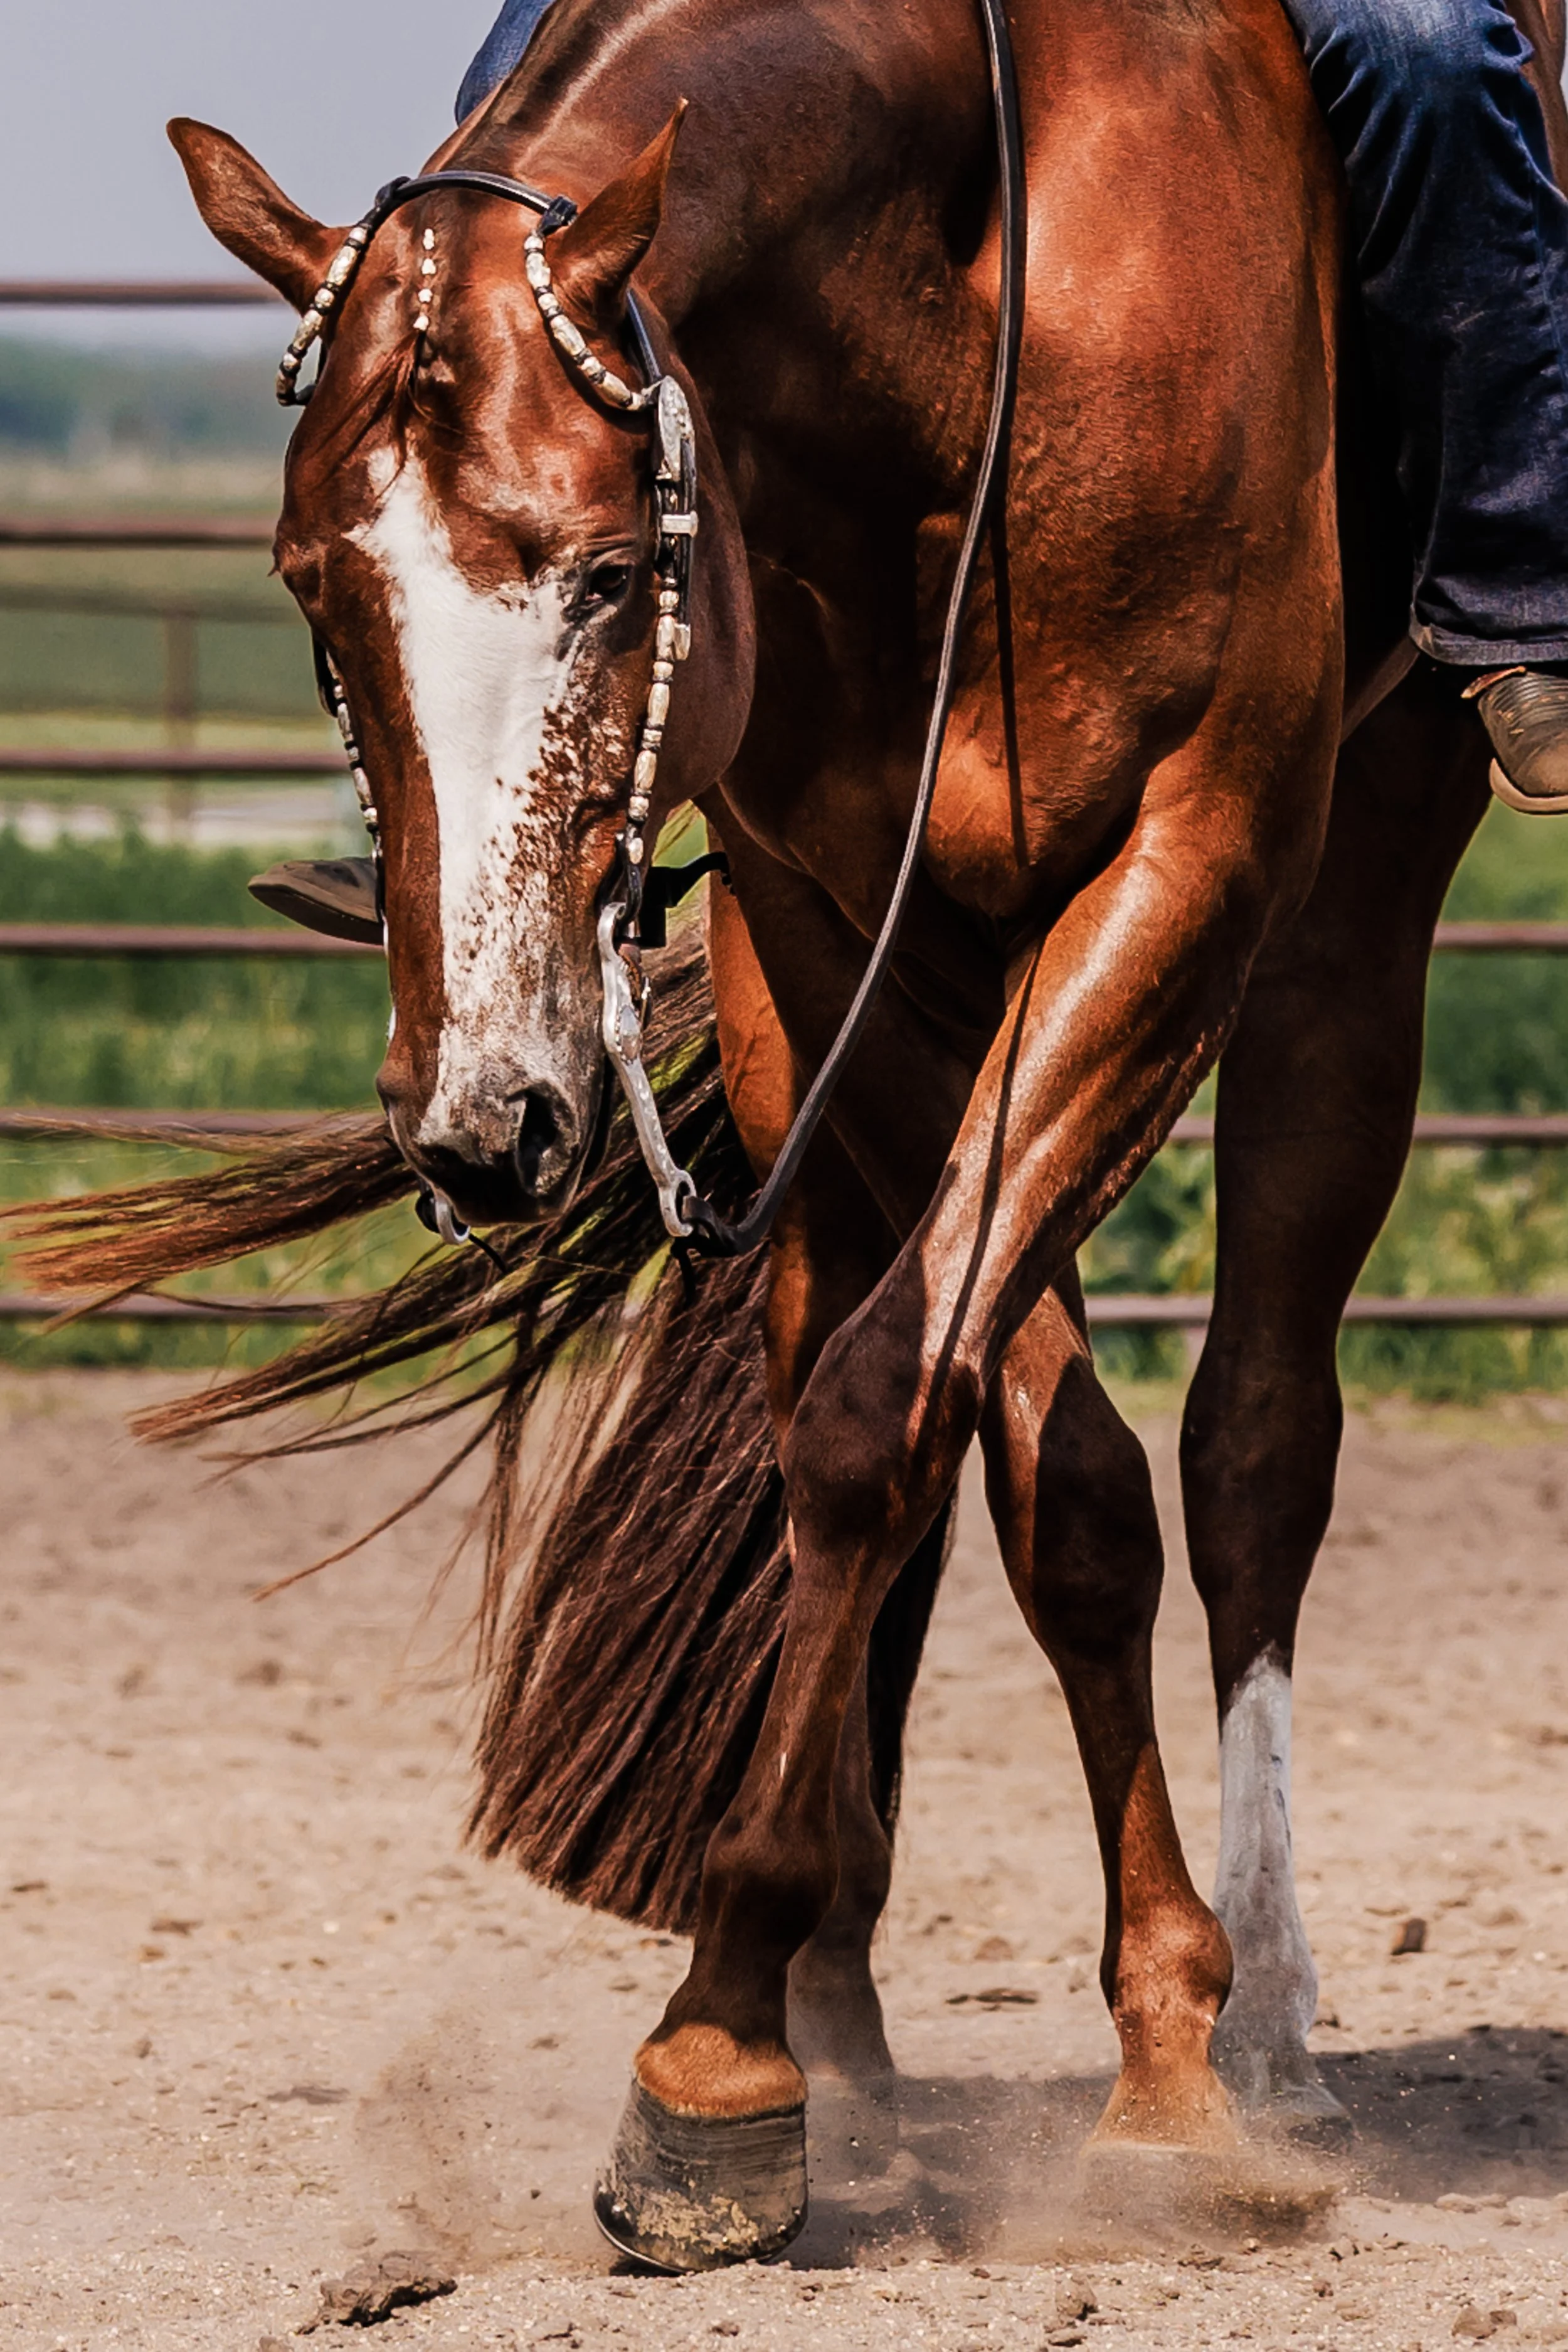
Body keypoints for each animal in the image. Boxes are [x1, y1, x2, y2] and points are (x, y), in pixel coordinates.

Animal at [19, 0, 1568, 2274]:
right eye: (313, 586)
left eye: (602, 578)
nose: (484, 1121)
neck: (978, 274)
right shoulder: (845, 928)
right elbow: (1012, 1465)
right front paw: (781, 2027)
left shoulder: (1177, 870)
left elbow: (902, 1424)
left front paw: (1074, 2065)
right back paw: (865, 2019)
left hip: (1350, 898)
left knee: (1261, 1438)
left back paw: (1276, 2031)